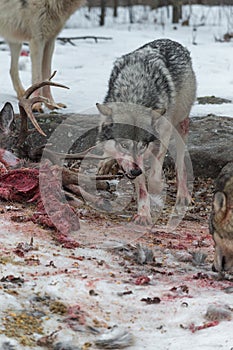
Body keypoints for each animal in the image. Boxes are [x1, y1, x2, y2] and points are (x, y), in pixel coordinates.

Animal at [96, 38, 197, 224]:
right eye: (124, 145)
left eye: (142, 145)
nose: (136, 171)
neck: (135, 92)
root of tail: (171, 41)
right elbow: (141, 185)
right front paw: (143, 214)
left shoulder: (163, 133)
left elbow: (154, 173)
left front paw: (156, 187)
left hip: (180, 124)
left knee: (181, 164)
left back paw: (183, 195)